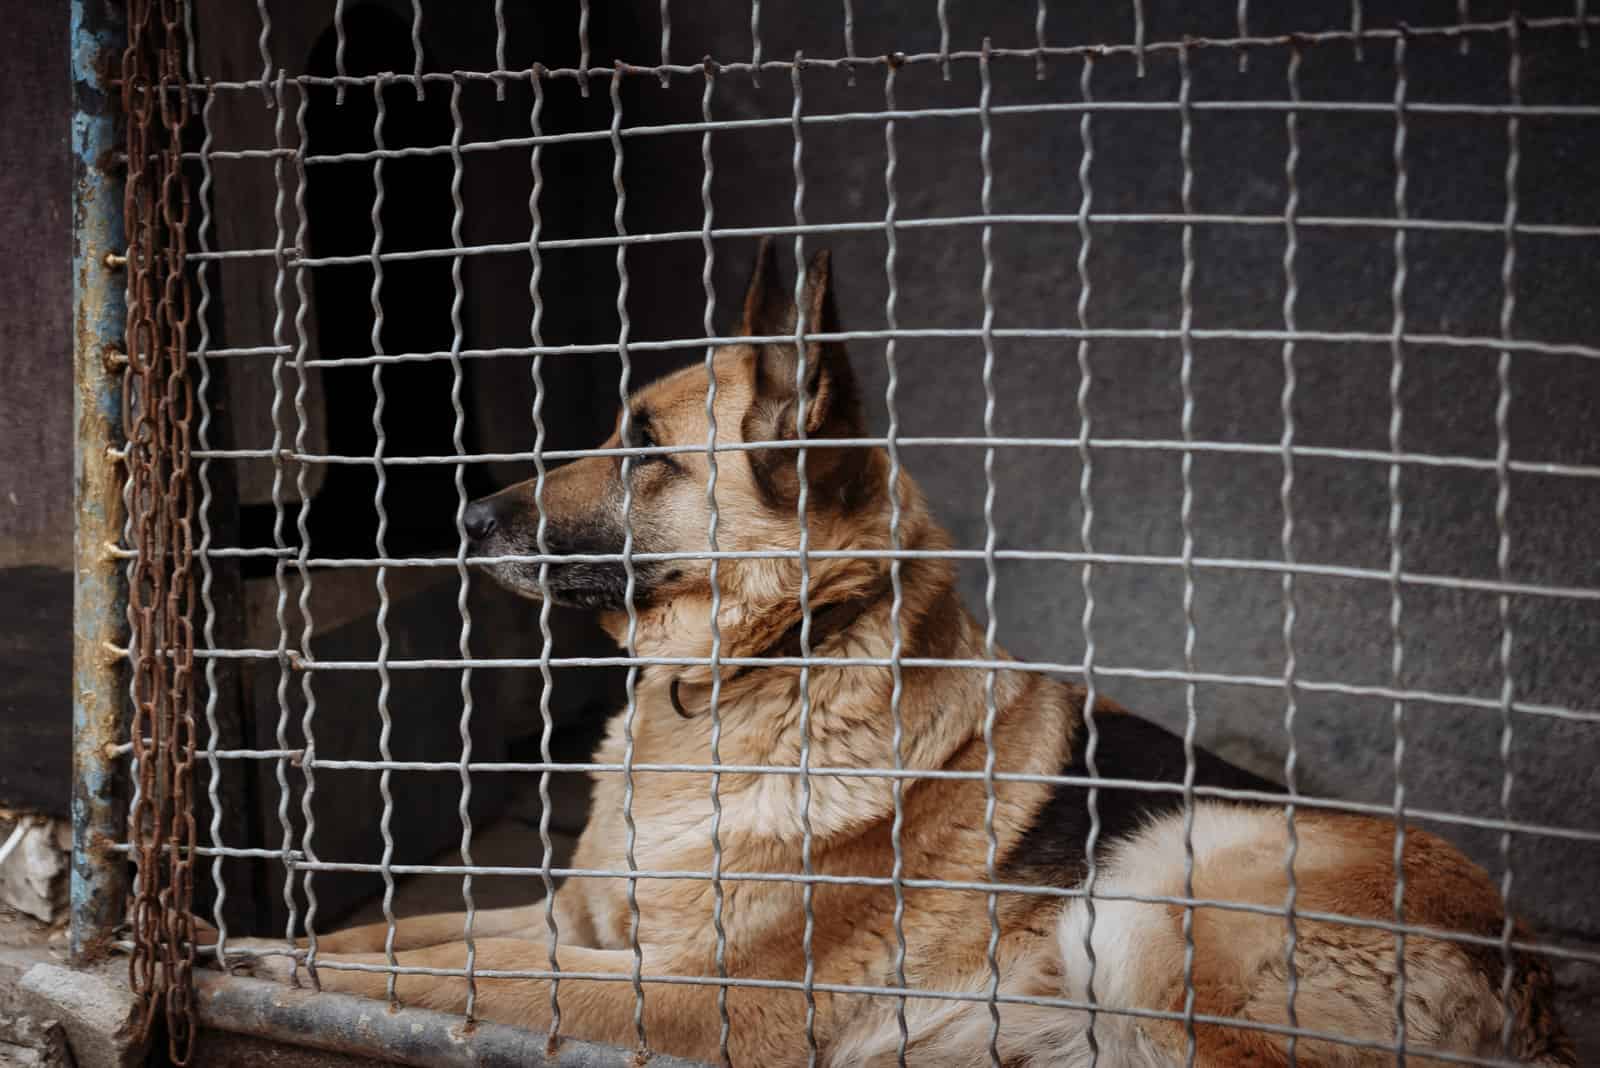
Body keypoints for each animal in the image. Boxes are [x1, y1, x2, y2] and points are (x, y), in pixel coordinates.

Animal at [236, 241, 1574, 1068]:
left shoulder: (685, 995)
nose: (464, 517)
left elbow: (454, 982)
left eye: (644, 448)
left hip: (1164, 881)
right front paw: (273, 947)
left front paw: (281, 971)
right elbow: (408, 938)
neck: (748, 681)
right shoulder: (578, 923)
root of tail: (1525, 975)